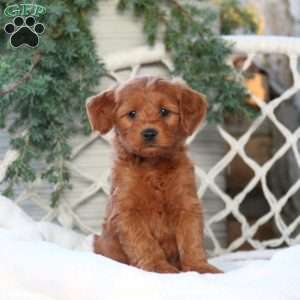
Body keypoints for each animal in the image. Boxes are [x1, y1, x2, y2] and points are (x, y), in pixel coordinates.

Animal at [85, 75, 221, 274]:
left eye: (164, 111)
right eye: (132, 114)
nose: (149, 133)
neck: (153, 167)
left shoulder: (187, 205)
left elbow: (191, 240)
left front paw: (199, 267)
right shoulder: (127, 211)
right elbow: (144, 242)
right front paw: (159, 267)